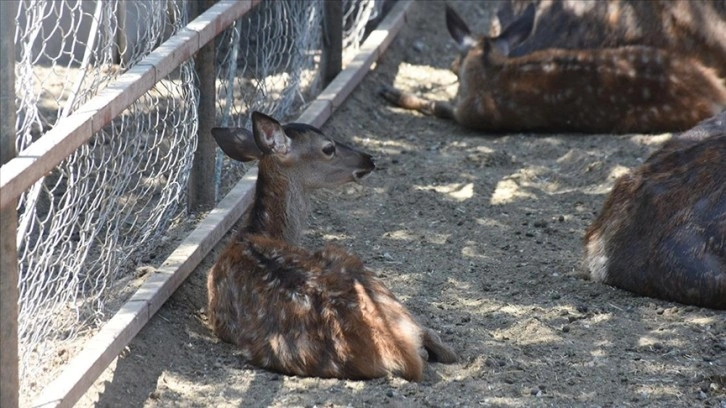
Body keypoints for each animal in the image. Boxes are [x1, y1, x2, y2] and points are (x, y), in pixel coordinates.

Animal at [382, 3, 726, 134]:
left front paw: (391, 92)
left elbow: (437, 106)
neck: (489, 71)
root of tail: (715, 95)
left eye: (456, 65)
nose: (453, 65)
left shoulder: (469, 115)